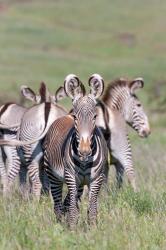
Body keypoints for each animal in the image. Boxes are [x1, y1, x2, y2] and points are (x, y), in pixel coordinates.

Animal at [43, 73, 108, 229]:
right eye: (76, 117)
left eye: (95, 117)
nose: (84, 151)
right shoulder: (71, 177)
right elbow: (72, 209)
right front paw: (71, 230)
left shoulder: (97, 178)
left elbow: (92, 209)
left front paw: (93, 230)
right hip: (53, 175)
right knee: (58, 206)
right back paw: (60, 225)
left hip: (80, 184)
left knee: (66, 203)